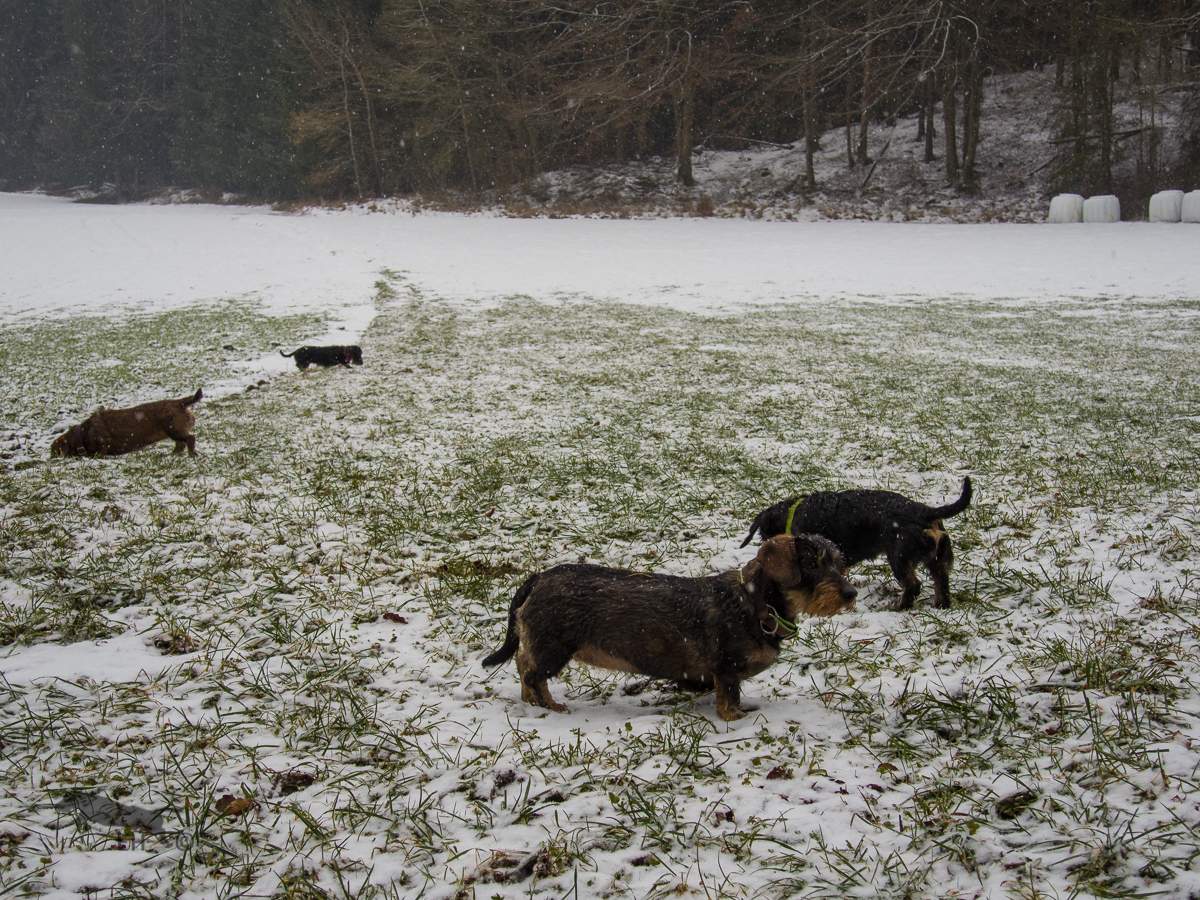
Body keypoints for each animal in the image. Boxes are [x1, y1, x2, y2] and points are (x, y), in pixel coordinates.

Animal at [51, 389, 203, 458]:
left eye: (54, 451)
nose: (51, 459)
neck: (82, 435)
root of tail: (181, 403)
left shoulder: (102, 445)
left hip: (174, 430)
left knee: (190, 439)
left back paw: (191, 454)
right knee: (180, 444)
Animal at [482, 534, 857, 721]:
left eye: (839, 563)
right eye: (811, 564)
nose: (851, 594)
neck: (754, 603)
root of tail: (538, 577)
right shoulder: (727, 668)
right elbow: (729, 695)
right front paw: (735, 716)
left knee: (525, 666)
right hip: (553, 649)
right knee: (530, 670)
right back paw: (547, 705)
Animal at [740, 477, 972, 611]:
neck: (793, 513)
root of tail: (925, 511)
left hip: (899, 558)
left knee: (913, 585)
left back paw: (899, 606)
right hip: (938, 558)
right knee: (942, 581)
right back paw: (941, 605)